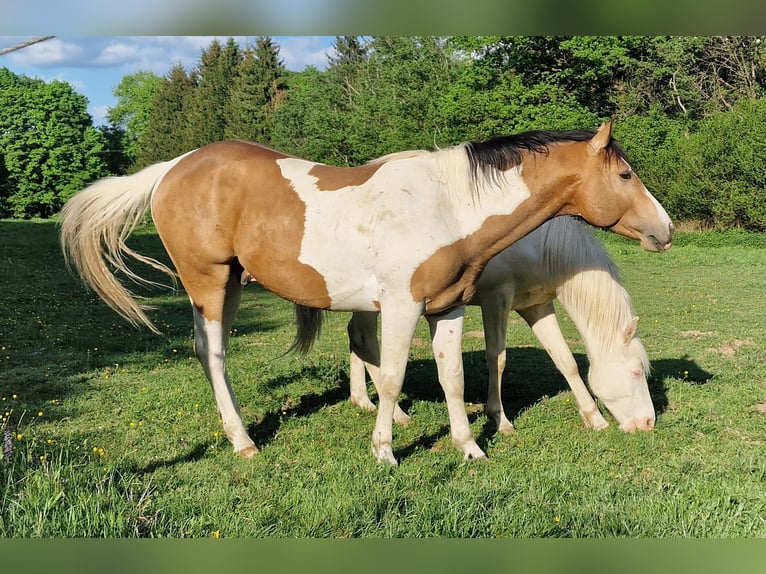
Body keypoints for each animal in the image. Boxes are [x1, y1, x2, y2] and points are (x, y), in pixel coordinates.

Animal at [346, 216, 654, 440]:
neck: (538, 245)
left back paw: (361, 400)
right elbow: (498, 359)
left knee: (355, 338)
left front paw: (594, 417)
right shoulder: (496, 299)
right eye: (637, 372)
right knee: (365, 342)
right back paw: (396, 414)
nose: (648, 422)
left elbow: (565, 361)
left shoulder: (536, 306)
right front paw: (500, 419)